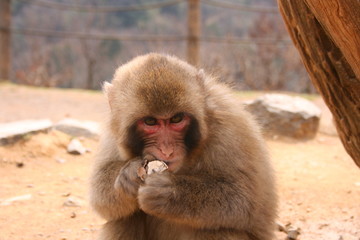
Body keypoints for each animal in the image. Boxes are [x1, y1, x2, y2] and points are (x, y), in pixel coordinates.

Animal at [89, 53, 276, 240]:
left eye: (176, 119)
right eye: (150, 121)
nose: (167, 150)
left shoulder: (231, 126)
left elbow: (244, 200)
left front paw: (171, 193)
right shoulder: (114, 128)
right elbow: (99, 196)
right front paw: (127, 175)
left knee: (219, 229)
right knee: (124, 218)